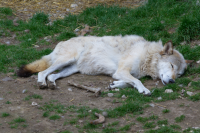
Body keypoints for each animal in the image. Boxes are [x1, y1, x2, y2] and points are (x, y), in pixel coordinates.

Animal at [16, 34, 191, 95]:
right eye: (172, 66)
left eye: (179, 74)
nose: (173, 81)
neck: (147, 56)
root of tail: (61, 42)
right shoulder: (121, 71)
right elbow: (136, 81)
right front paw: (144, 90)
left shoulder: (122, 73)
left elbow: (129, 82)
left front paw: (115, 85)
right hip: (65, 60)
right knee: (42, 73)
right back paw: (42, 83)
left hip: (70, 70)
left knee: (52, 75)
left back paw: (52, 84)